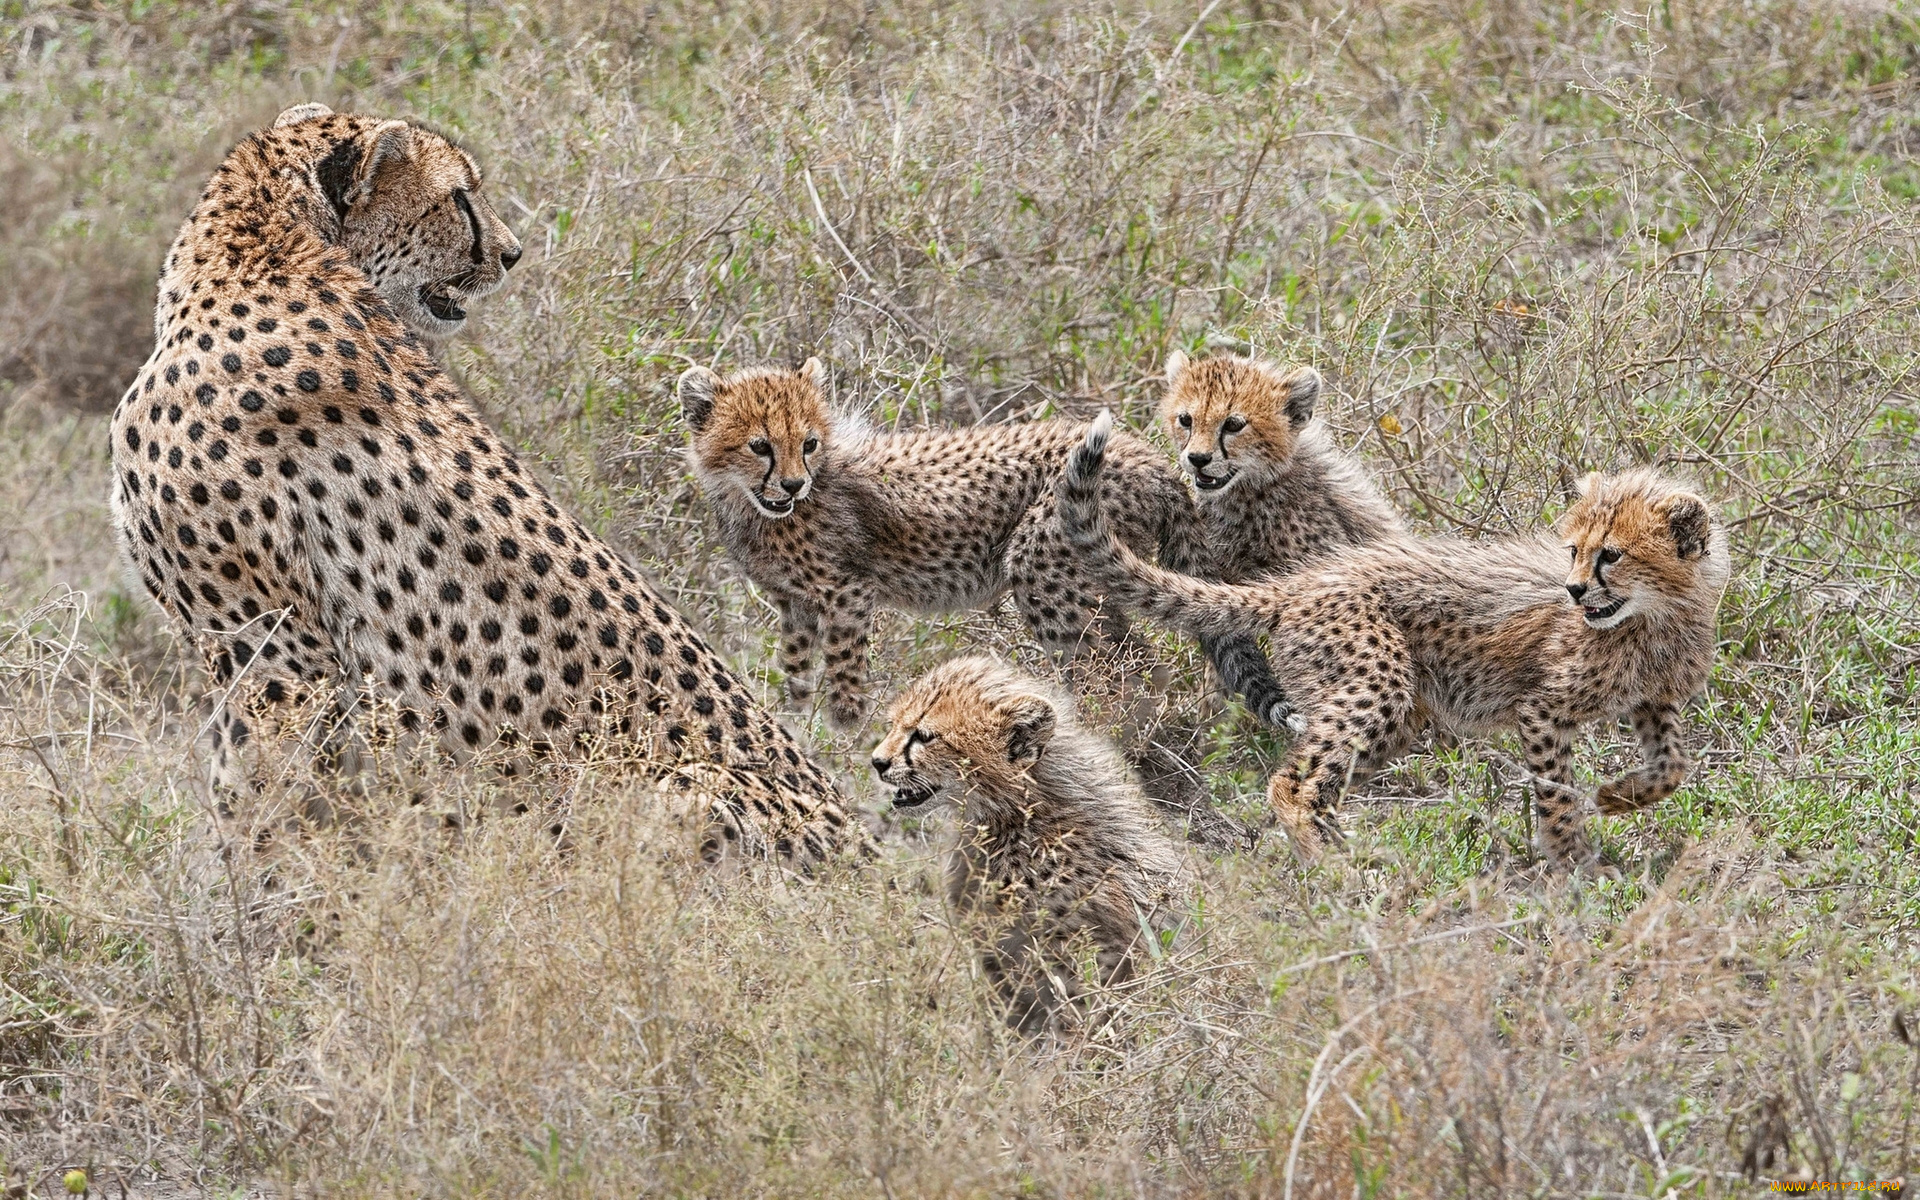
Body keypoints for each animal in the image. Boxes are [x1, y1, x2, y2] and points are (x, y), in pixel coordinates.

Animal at [105, 98, 856, 856]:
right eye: (458, 198)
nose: (512, 252)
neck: (261, 252)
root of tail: (867, 850)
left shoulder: (274, 660)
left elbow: (257, 813)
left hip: (670, 789)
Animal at [1059, 416, 1735, 864]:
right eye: (1574, 550)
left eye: (1611, 555)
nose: (1571, 590)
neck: (1657, 615)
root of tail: (1303, 581)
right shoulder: (1543, 709)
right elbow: (1558, 791)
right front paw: (1568, 858)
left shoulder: (1654, 700)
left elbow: (1675, 764)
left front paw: (1621, 797)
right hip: (1376, 682)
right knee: (1292, 782)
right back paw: (1335, 865)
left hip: (1394, 717)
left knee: (1320, 773)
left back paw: (1341, 848)